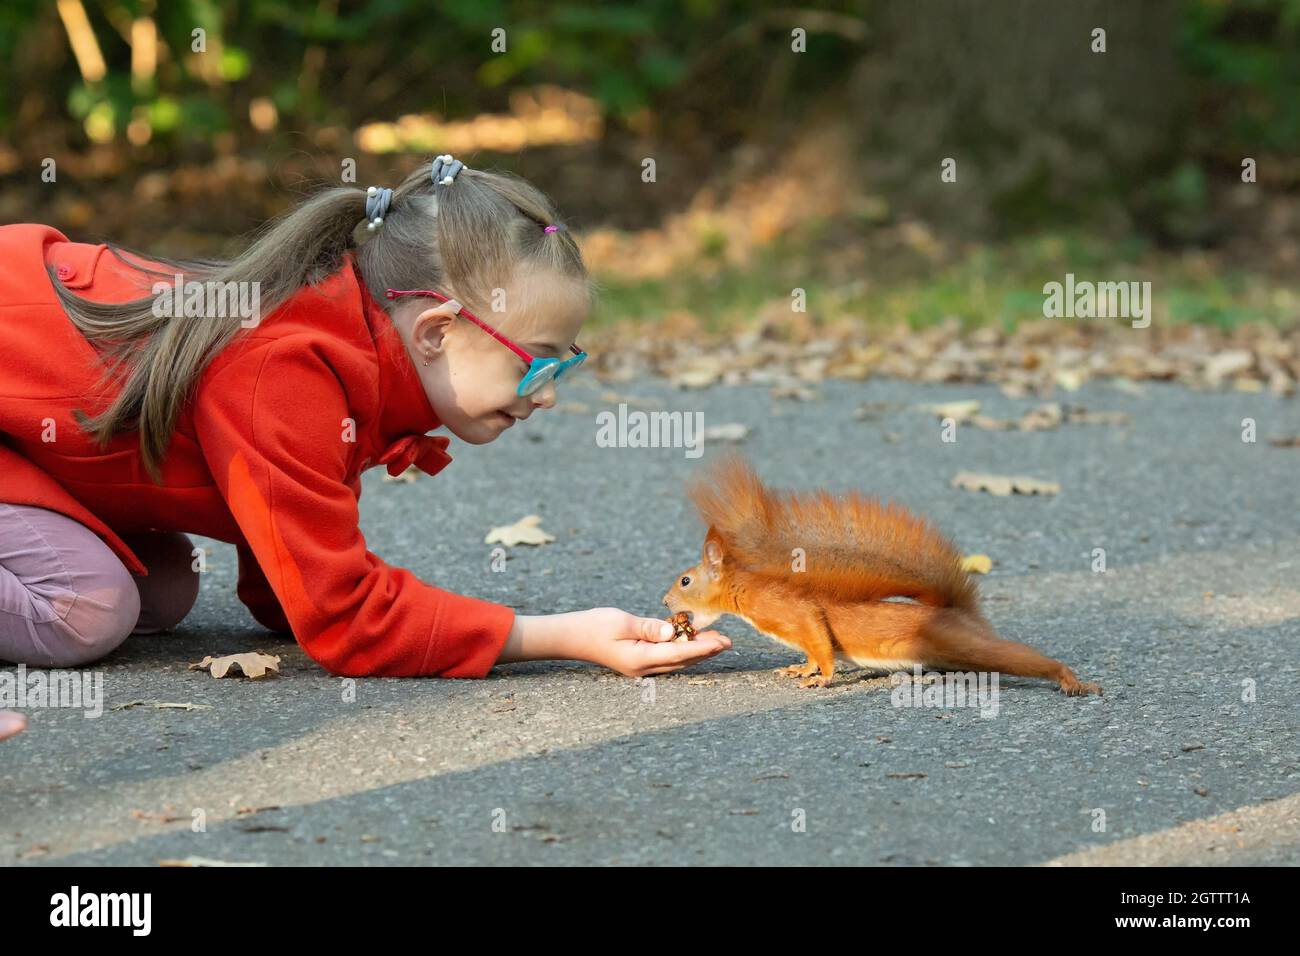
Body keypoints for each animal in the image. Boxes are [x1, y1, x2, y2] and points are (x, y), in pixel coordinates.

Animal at [665, 455, 1102, 697]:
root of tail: (959, 613)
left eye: (685, 581)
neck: (745, 592)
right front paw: (800, 669)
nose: (665, 602)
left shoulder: (794, 611)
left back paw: (1069, 679)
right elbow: (811, 653)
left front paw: (821, 679)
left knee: (1021, 658)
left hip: (960, 640)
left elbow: (820, 643)